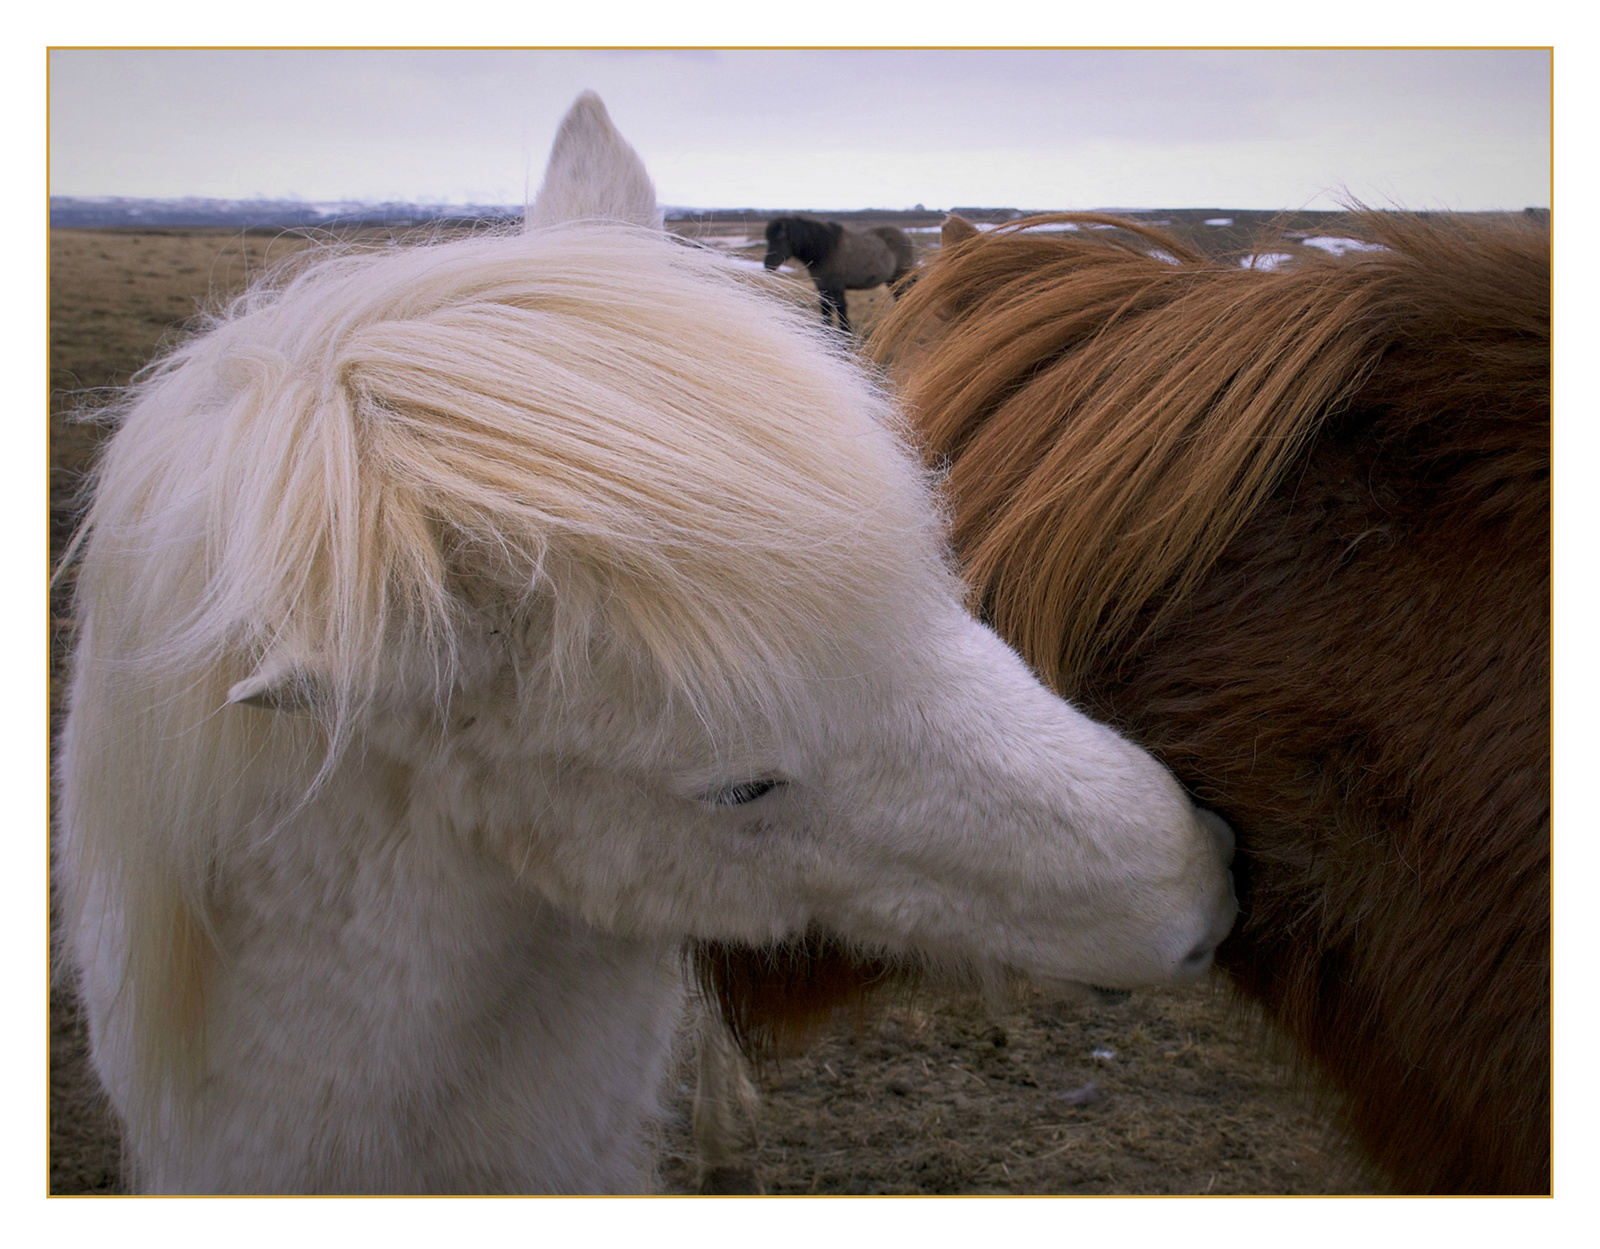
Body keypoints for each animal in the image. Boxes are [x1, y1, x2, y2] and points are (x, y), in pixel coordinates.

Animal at [764, 214, 921, 331]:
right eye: (768, 239)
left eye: (780, 238)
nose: (767, 265)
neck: (825, 251)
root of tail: (907, 237)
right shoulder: (823, 286)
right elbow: (826, 311)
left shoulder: (837, 286)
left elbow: (841, 310)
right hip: (893, 280)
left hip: (901, 276)